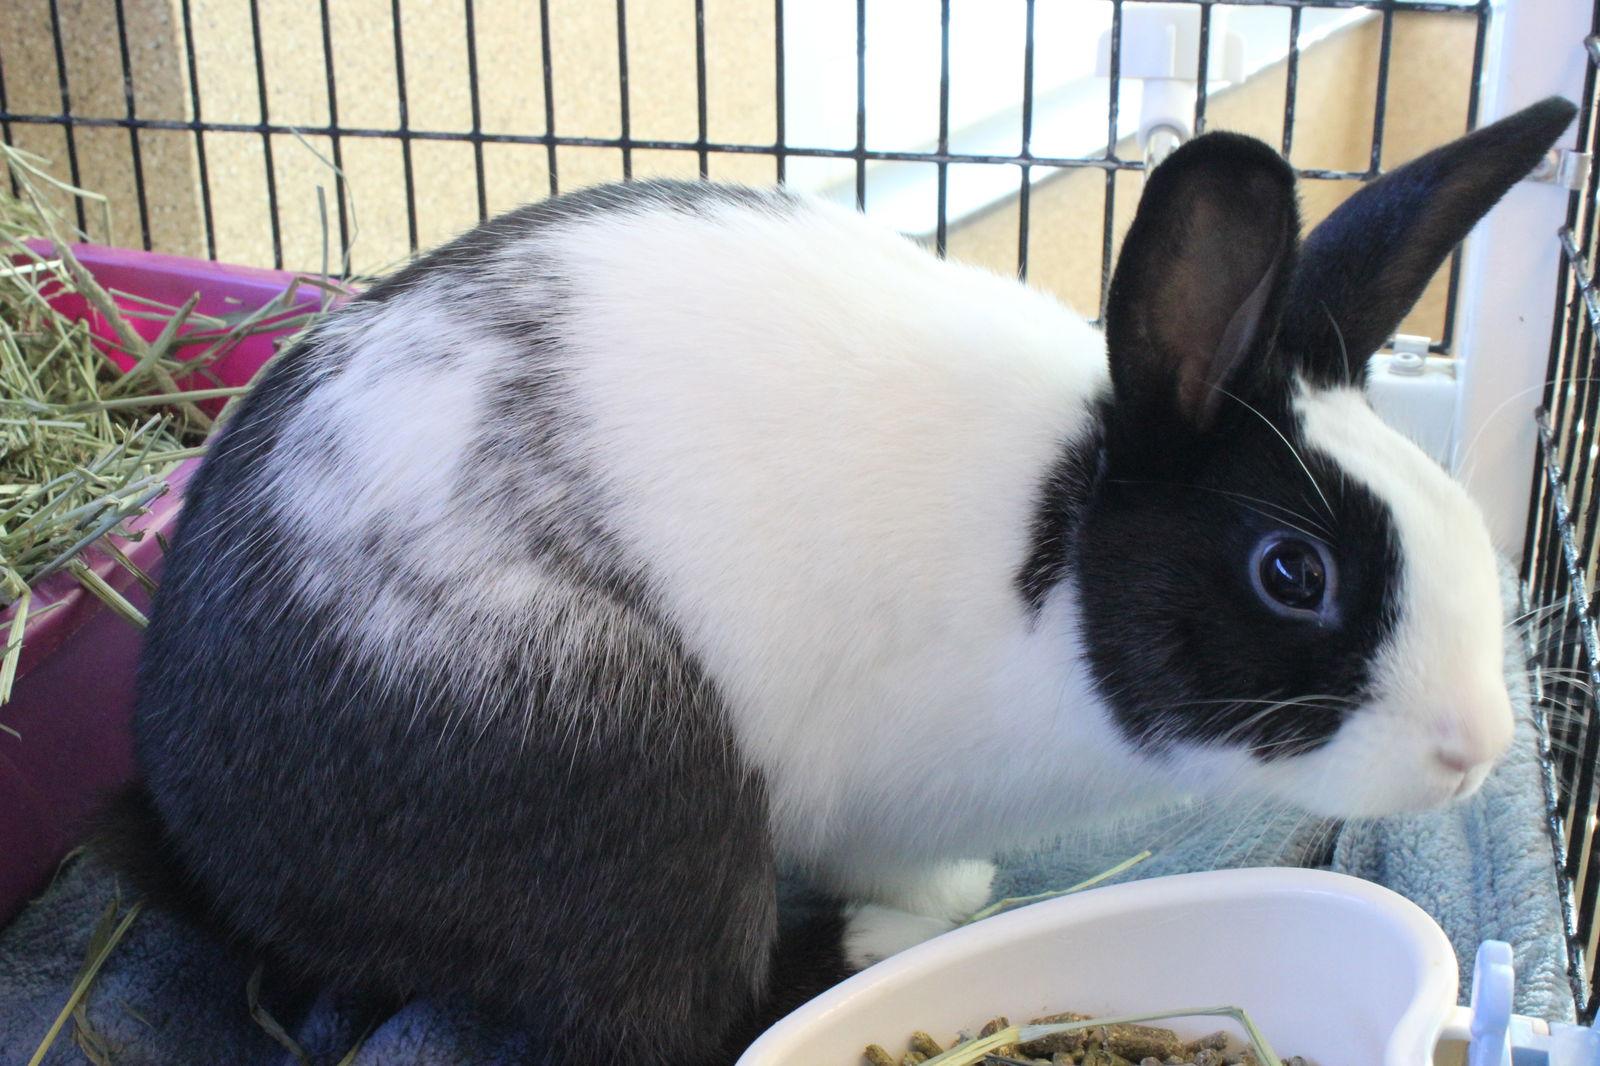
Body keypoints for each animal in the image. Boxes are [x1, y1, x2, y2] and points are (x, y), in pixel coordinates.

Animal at [108, 96, 1575, 1064]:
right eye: (1293, 570)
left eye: (1458, 512)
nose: (1473, 750)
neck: (1053, 548)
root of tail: (200, 818)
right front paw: (945, 896)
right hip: (633, 761)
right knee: (670, 1012)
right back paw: (872, 944)